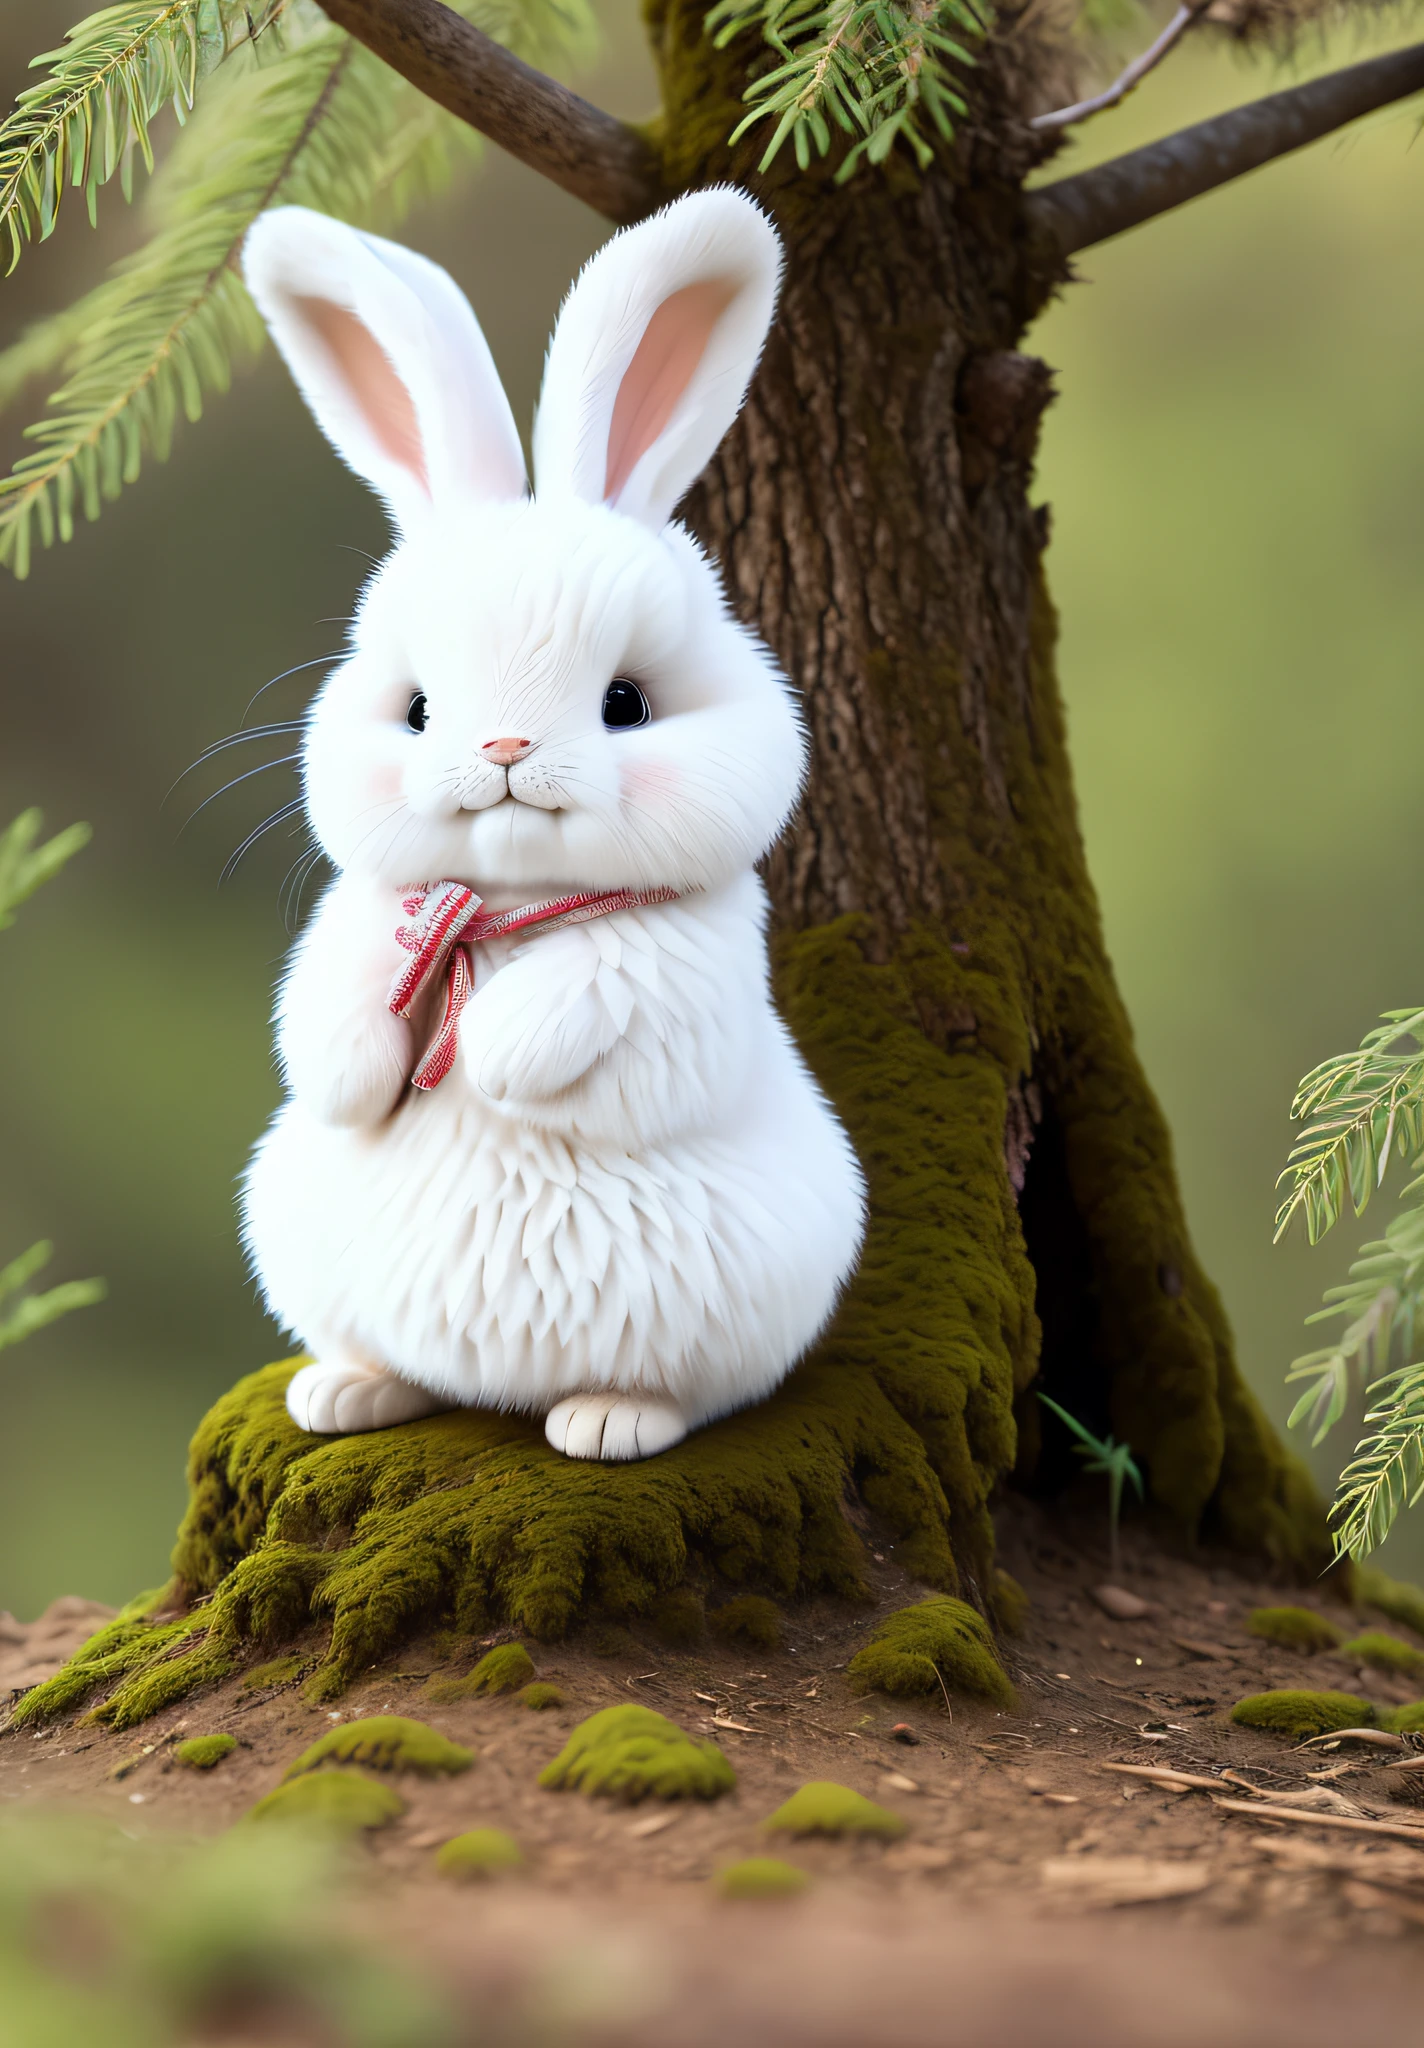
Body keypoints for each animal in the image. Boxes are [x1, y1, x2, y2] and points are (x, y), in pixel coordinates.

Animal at [236, 180, 868, 1458]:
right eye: (418, 709)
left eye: (627, 703)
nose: (503, 748)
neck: (507, 902)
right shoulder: (355, 928)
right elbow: (327, 1016)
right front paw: (367, 1071)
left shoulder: (685, 959)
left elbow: (590, 992)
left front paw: (489, 1052)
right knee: (380, 1358)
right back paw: (347, 1391)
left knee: (681, 1388)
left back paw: (605, 1419)